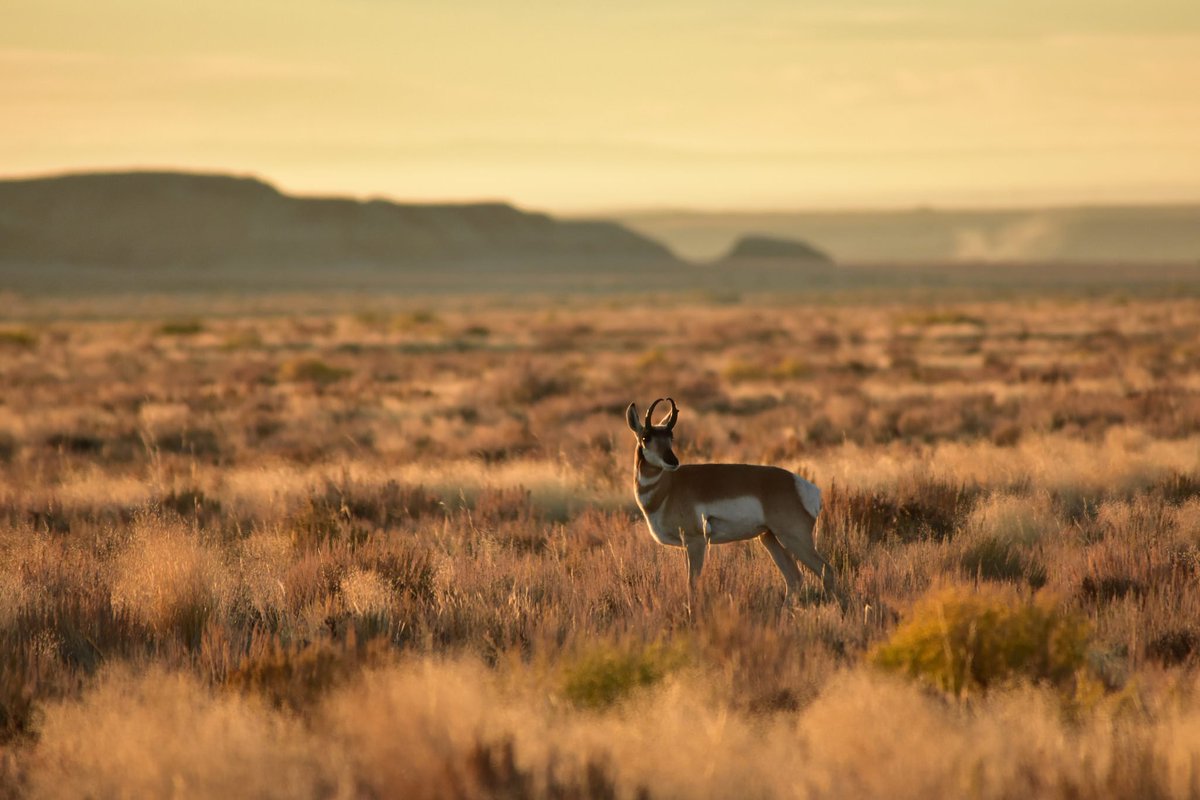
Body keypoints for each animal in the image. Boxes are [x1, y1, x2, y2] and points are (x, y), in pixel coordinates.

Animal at [624, 400, 840, 606]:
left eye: (671, 437)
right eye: (646, 437)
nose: (673, 461)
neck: (668, 487)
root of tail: (802, 485)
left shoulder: (696, 542)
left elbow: (692, 584)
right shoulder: (686, 545)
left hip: (794, 538)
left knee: (826, 571)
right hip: (769, 538)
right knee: (794, 578)